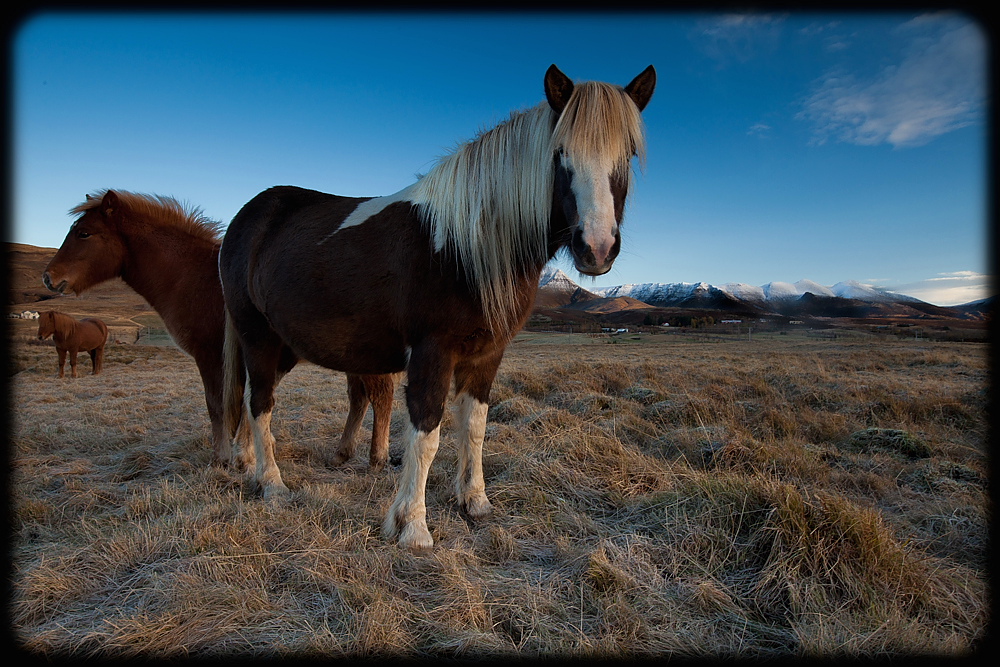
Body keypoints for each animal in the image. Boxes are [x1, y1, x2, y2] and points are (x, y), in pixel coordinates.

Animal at [44, 190, 398, 472]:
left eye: (84, 234)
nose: (49, 277)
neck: (193, 276)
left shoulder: (212, 356)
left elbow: (219, 405)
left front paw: (224, 459)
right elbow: (246, 402)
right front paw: (247, 455)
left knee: (380, 397)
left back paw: (376, 459)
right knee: (359, 398)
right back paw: (342, 454)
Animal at [220, 65, 656, 552]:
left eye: (628, 155)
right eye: (560, 153)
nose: (595, 248)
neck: (465, 246)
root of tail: (248, 216)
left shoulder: (486, 355)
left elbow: (475, 427)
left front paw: (475, 502)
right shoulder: (432, 353)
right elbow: (426, 435)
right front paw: (412, 526)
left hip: (285, 345)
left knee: (249, 398)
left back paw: (246, 463)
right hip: (257, 335)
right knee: (261, 404)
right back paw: (272, 484)